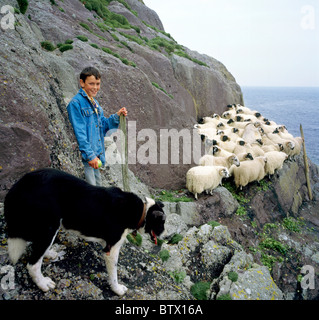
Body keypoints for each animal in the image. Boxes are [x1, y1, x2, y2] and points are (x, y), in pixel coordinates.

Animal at [3, 169, 166, 296]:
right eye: (162, 224)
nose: (166, 238)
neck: (141, 211)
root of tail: (19, 185)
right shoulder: (111, 250)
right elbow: (113, 275)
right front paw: (117, 289)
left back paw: (48, 253)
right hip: (49, 226)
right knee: (33, 264)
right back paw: (43, 284)